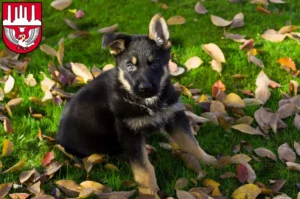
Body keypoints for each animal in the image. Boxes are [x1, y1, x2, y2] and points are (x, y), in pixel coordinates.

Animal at [55, 14, 216, 196]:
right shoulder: (129, 132)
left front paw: (208, 160)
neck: (147, 103)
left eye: (155, 64)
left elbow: (190, 142)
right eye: (130, 66)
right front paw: (149, 191)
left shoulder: (174, 116)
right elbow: (143, 166)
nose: (145, 88)